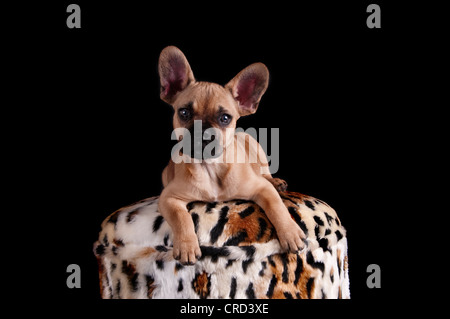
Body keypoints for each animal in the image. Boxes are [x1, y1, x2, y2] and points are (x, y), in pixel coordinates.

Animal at [156, 45, 306, 264]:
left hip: (255, 146)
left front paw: (290, 232)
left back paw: (276, 181)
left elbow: (277, 207)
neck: (210, 168)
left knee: (265, 173)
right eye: (184, 113)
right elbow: (181, 217)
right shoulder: (168, 198)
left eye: (225, 118)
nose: (203, 133)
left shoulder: (262, 189)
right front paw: (186, 245)